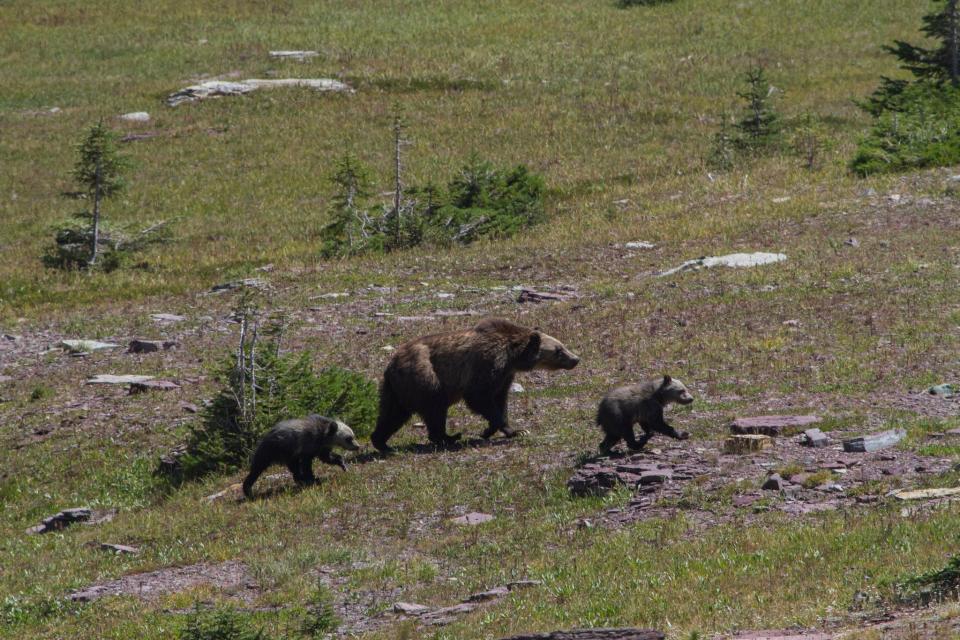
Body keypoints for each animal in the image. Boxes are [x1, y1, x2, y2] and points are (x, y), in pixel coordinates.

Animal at [372, 318, 580, 450]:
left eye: (562, 345)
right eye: (559, 350)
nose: (576, 359)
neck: (512, 357)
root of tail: (391, 364)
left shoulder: (504, 375)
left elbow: (500, 399)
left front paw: (505, 430)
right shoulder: (486, 363)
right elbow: (479, 397)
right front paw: (504, 430)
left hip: (397, 389)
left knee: (393, 414)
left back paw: (382, 442)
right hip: (424, 376)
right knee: (434, 408)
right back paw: (449, 437)